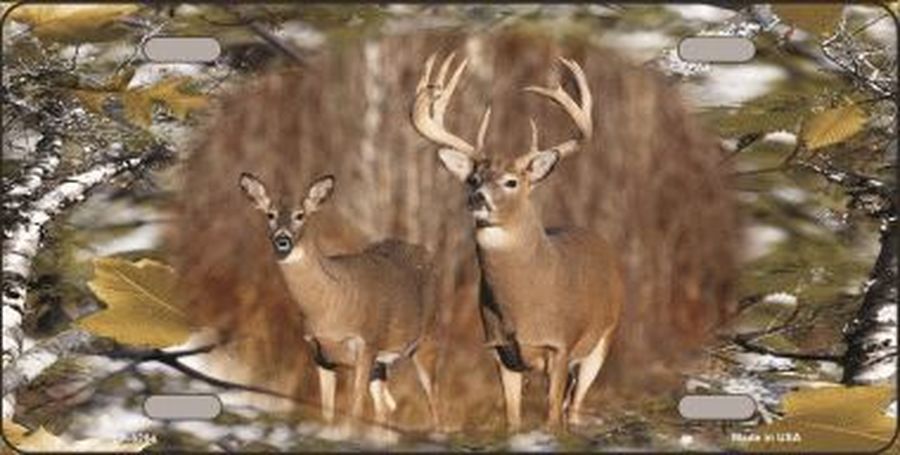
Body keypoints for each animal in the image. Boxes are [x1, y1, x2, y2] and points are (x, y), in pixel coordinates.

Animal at [237, 172, 439, 436]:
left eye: (300, 215)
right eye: (270, 214)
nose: (283, 239)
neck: (328, 309)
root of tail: (424, 252)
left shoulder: (366, 343)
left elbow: (354, 409)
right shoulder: (319, 352)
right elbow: (327, 410)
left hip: (428, 338)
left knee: (433, 400)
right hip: (382, 362)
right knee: (387, 406)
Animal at [410, 53, 624, 432]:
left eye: (511, 181)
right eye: (474, 178)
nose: (477, 198)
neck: (523, 306)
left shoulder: (560, 345)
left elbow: (552, 416)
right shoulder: (500, 350)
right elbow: (513, 417)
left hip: (602, 340)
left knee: (574, 406)